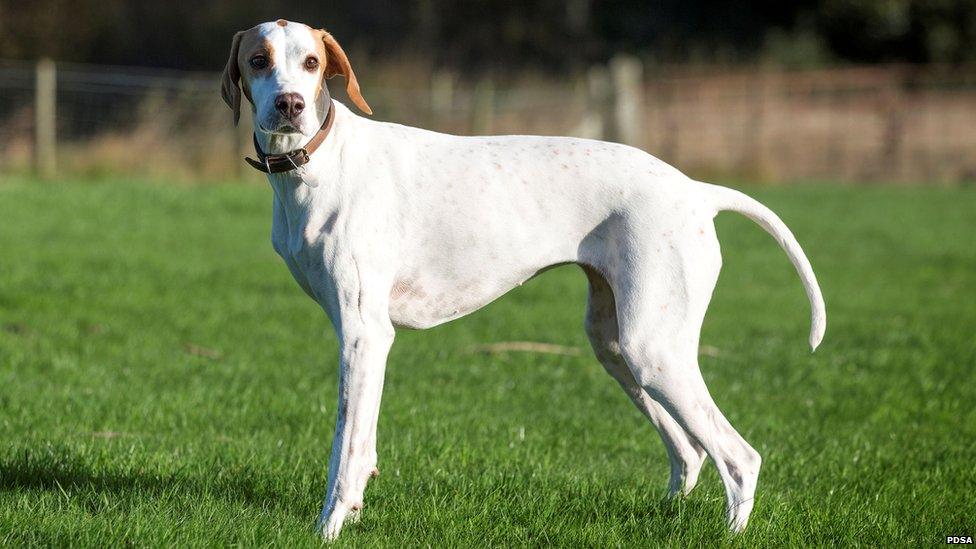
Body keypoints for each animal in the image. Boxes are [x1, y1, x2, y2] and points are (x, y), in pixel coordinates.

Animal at [219, 20, 824, 540]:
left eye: (312, 63)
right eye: (258, 60)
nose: (290, 105)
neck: (317, 165)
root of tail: (697, 191)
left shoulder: (363, 335)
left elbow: (345, 449)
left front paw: (329, 526)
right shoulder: (362, 339)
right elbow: (361, 444)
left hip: (654, 351)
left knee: (739, 458)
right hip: (617, 347)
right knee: (691, 452)